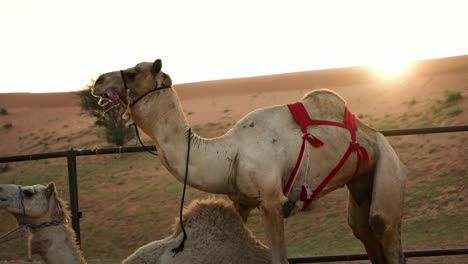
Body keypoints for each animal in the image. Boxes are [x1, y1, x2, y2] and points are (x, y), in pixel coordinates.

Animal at [91, 59, 406, 264]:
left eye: (132, 73)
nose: (97, 81)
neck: (230, 154)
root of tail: (370, 131)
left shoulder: (271, 200)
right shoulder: (240, 201)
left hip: (387, 161)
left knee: (381, 223)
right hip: (361, 178)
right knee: (361, 227)